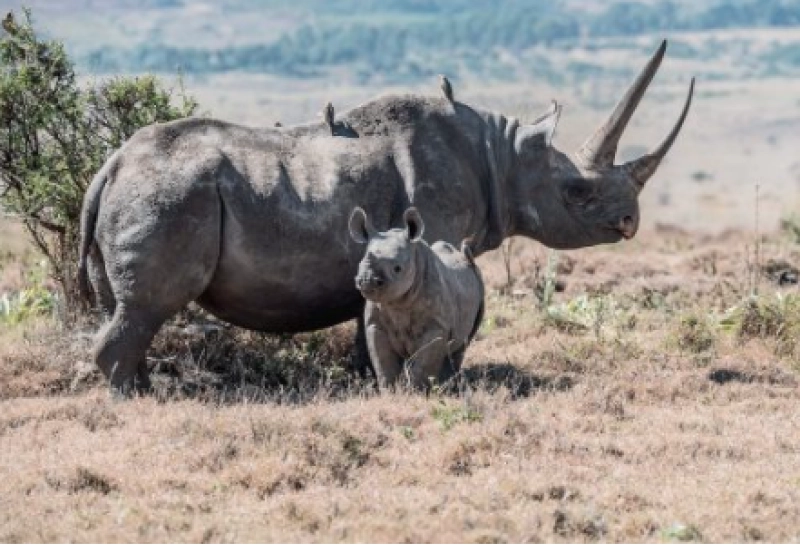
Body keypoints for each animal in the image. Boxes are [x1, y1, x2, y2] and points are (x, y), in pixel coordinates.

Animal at [349, 206, 484, 389]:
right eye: (359, 265)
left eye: (397, 268)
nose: (366, 281)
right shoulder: (375, 324)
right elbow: (383, 361)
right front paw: (389, 390)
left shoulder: (437, 326)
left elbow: (423, 364)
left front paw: (416, 390)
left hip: (478, 282)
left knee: (461, 344)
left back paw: (448, 385)